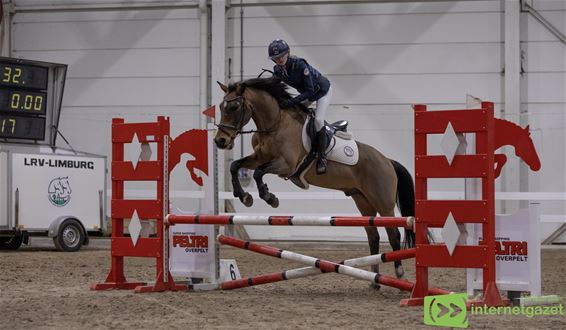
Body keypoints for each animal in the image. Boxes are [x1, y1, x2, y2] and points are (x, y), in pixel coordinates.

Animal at [213, 77, 418, 282]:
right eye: (221, 107)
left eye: (234, 107)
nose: (220, 141)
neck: (275, 124)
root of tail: (388, 161)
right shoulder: (259, 157)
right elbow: (235, 166)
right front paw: (244, 196)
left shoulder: (286, 165)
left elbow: (258, 173)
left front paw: (270, 198)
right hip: (363, 201)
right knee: (373, 235)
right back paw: (374, 279)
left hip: (383, 203)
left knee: (393, 234)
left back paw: (398, 272)